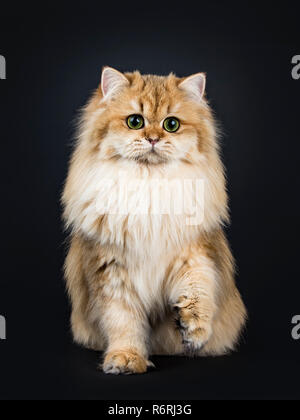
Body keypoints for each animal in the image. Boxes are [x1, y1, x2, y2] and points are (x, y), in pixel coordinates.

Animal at [62, 67, 247, 376]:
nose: (153, 138)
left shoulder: (195, 253)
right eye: (135, 122)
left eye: (171, 124)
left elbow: (199, 290)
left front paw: (193, 330)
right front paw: (126, 359)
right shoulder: (110, 270)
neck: (149, 184)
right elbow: (123, 322)